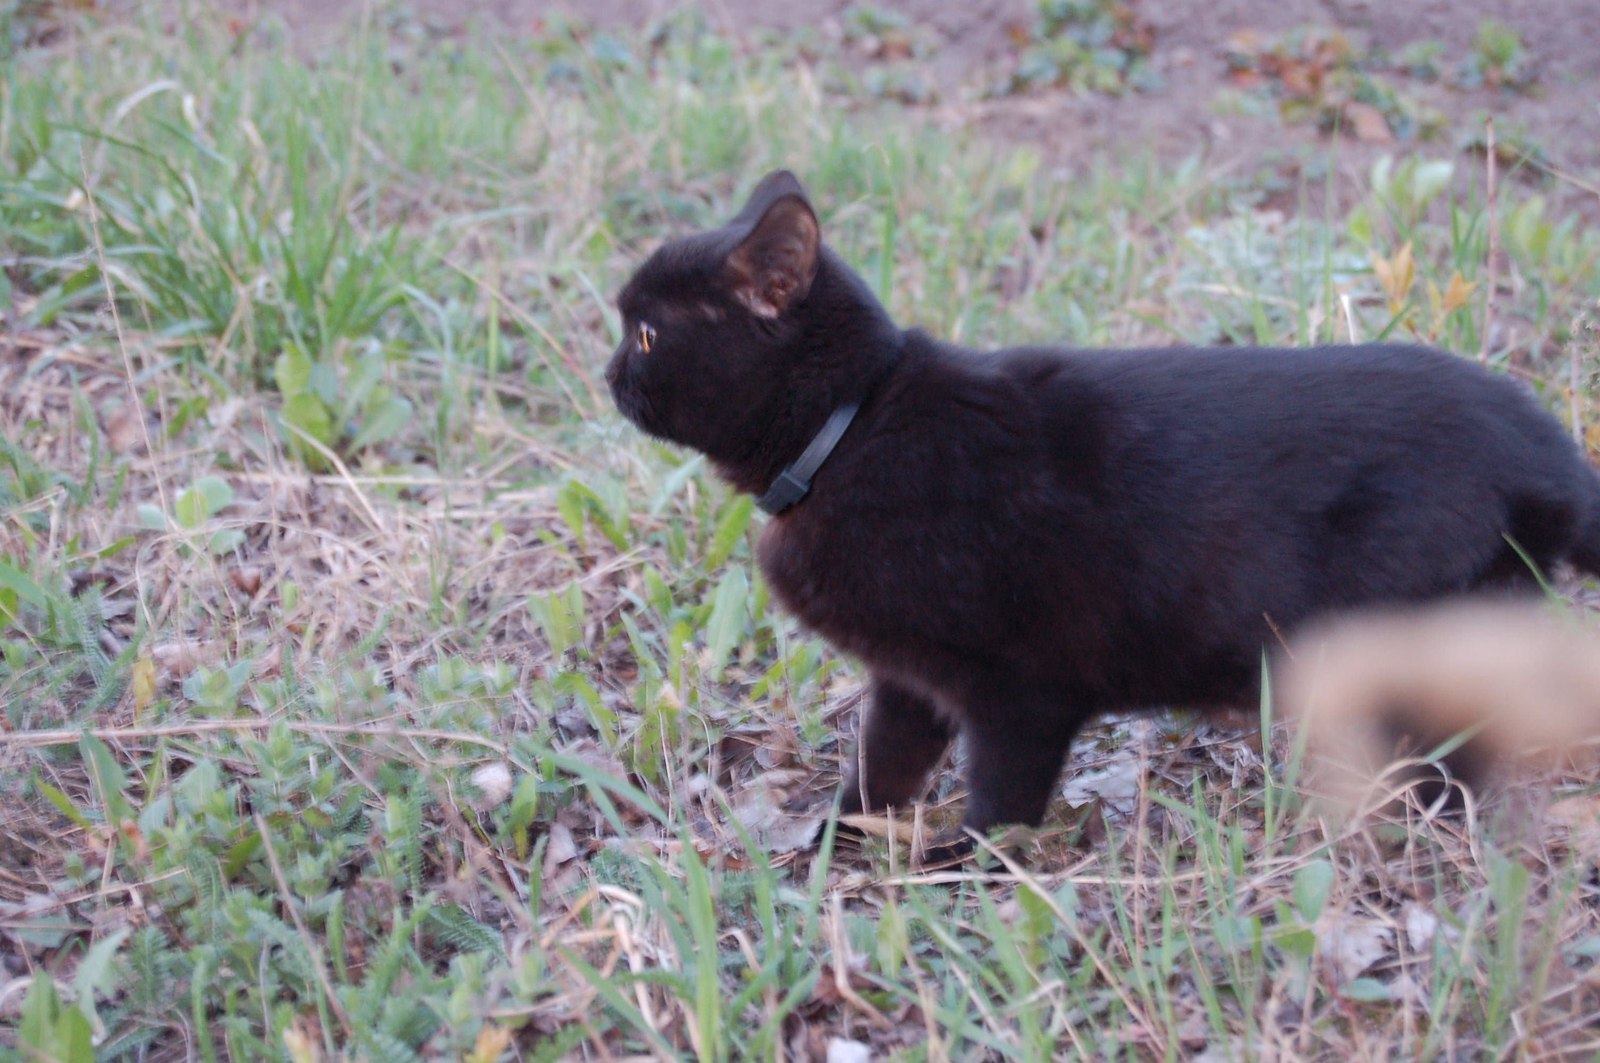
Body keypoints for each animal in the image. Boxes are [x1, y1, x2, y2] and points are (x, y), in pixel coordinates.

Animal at [601, 172, 1600, 838]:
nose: (605, 372)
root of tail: (1544, 439)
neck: (854, 429)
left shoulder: (1020, 689)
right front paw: (837, 842)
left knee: (1463, 770)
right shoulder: (911, 679)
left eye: (645, 333)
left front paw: (963, 877)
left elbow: (1000, 803)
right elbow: (882, 763)